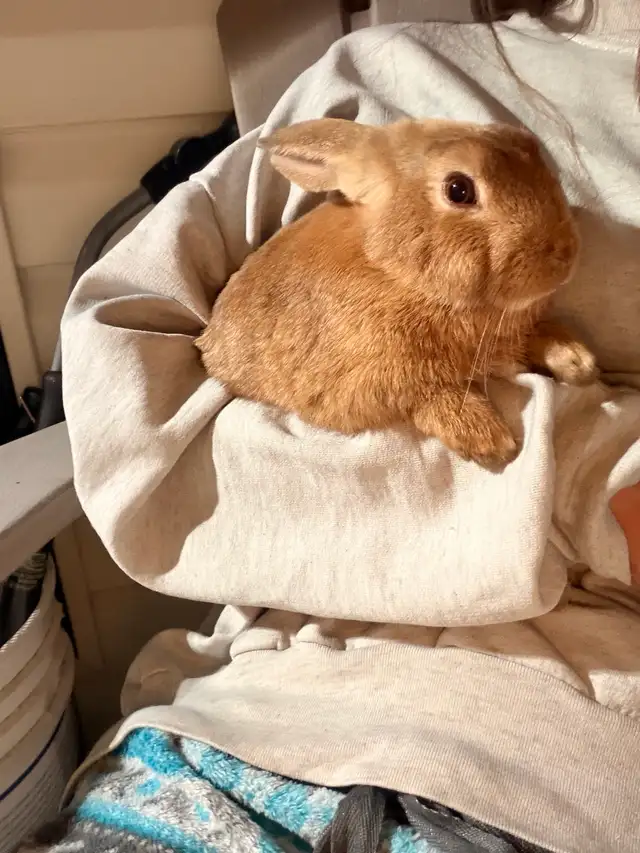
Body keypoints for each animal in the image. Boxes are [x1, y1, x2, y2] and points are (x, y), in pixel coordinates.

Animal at [195, 118, 597, 468]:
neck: (399, 273)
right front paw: (488, 440)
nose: (566, 254)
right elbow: (428, 396)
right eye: (459, 189)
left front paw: (578, 361)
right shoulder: (371, 383)